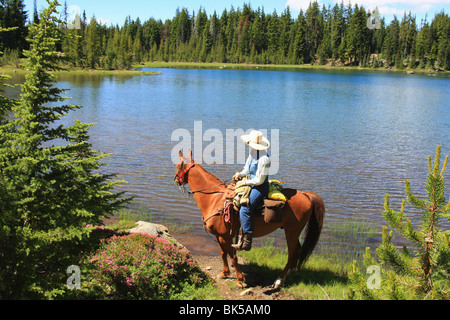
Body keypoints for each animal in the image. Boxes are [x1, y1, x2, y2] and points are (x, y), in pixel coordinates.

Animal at [174, 151, 326, 288]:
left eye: (177, 166)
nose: (175, 179)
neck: (214, 199)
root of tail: (306, 194)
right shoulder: (219, 236)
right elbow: (223, 254)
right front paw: (224, 273)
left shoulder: (226, 237)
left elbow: (233, 257)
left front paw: (240, 280)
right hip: (293, 233)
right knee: (298, 251)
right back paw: (290, 273)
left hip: (291, 232)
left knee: (292, 253)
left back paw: (279, 280)